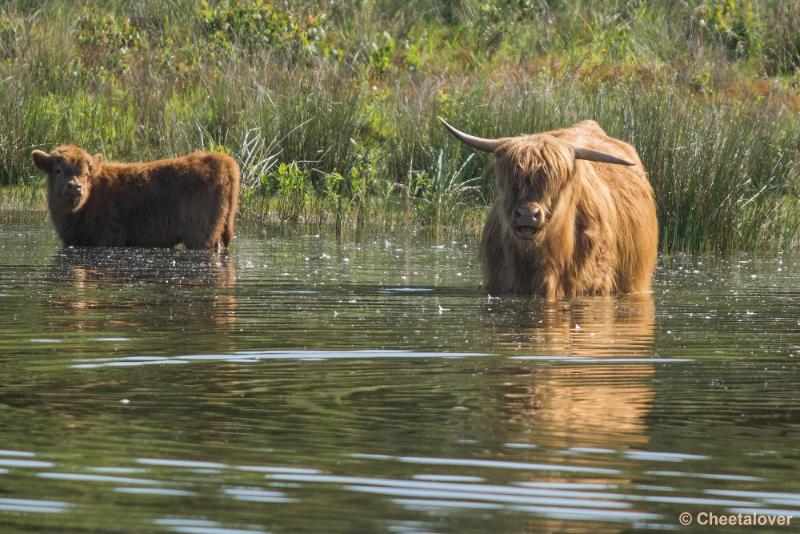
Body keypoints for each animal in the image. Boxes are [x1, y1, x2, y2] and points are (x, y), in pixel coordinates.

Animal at [32, 144, 238, 249]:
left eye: (86, 172)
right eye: (58, 170)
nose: (74, 186)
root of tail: (224, 160)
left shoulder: (109, 236)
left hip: (200, 233)